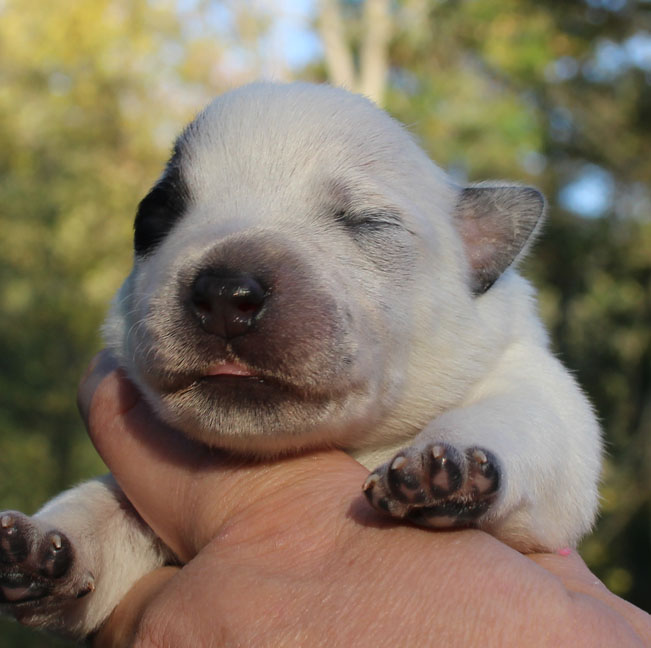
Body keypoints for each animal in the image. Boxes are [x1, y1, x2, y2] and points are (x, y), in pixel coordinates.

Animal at [0, 82, 602, 639]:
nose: (225, 292)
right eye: (152, 217)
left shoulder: (539, 397)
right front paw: (45, 545)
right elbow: (104, 505)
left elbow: (514, 420)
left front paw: (447, 465)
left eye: (368, 223)